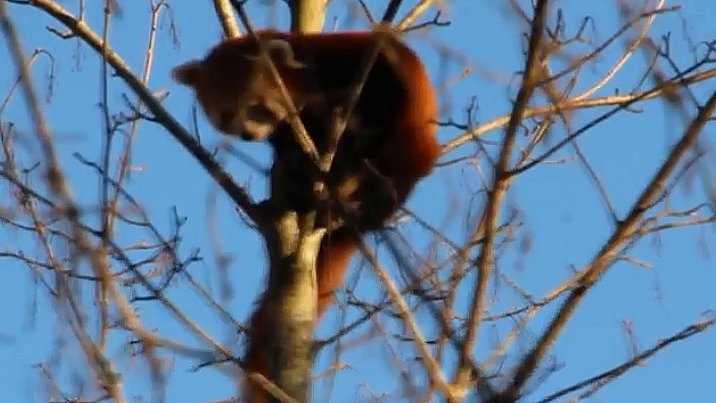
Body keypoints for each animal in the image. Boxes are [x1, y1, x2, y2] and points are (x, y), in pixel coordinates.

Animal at [174, 30, 442, 402]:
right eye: (226, 115)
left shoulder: (369, 67)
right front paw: (294, 165)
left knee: (385, 172)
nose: (247, 135)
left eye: (256, 106)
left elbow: (369, 104)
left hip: (409, 148)